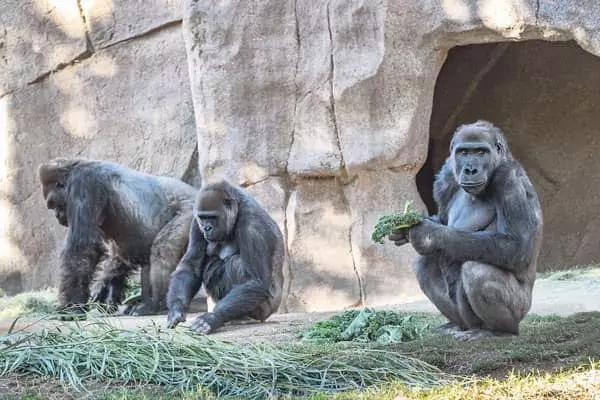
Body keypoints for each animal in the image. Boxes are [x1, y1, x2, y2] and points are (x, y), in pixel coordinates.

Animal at [38, 158, 197, 318]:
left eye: (53, 204)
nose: (58, 216)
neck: (73, 169)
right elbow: (124, 252)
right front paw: (104, 288)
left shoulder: (84, 183)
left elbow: (82, 248)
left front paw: (72, 306)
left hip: (190, 212)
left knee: (162, 250)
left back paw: (153, 304)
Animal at [165, 180, 284, 334]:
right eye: (203, 217)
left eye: (213, 217)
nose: (207, 228)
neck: (238, 209)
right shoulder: (196, 223)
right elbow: (190, 268)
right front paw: (176, 309)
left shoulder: (253, 226)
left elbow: (255, 281)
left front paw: (212, 318)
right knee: (212, 264)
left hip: (266, 310)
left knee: (236, 264)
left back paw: (244, 317)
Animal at [390, 119, 544, 340]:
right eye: (464, 152)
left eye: (480, 152)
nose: (470, 169)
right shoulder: (446, 176)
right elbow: (442, 220)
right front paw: (404, 228)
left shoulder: (509, 178)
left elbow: (516, 244)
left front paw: (427, 235)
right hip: (464, 319)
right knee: (425, 264)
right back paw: (456, 325)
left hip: (522, 309)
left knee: (477, 270)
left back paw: (499, 331)